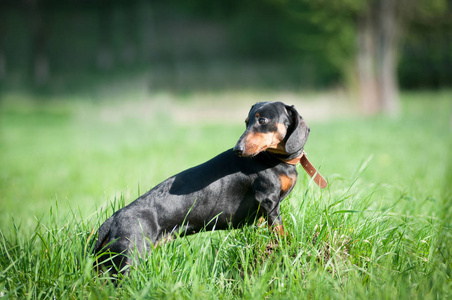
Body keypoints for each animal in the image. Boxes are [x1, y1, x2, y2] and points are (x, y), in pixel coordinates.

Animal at [92, 102, 324, 276]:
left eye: (262, 121)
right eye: (246, 122)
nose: (237, 149)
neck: (274, 159)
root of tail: (114, 218)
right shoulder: (269, 200)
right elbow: (280, 231)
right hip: (130, 260)